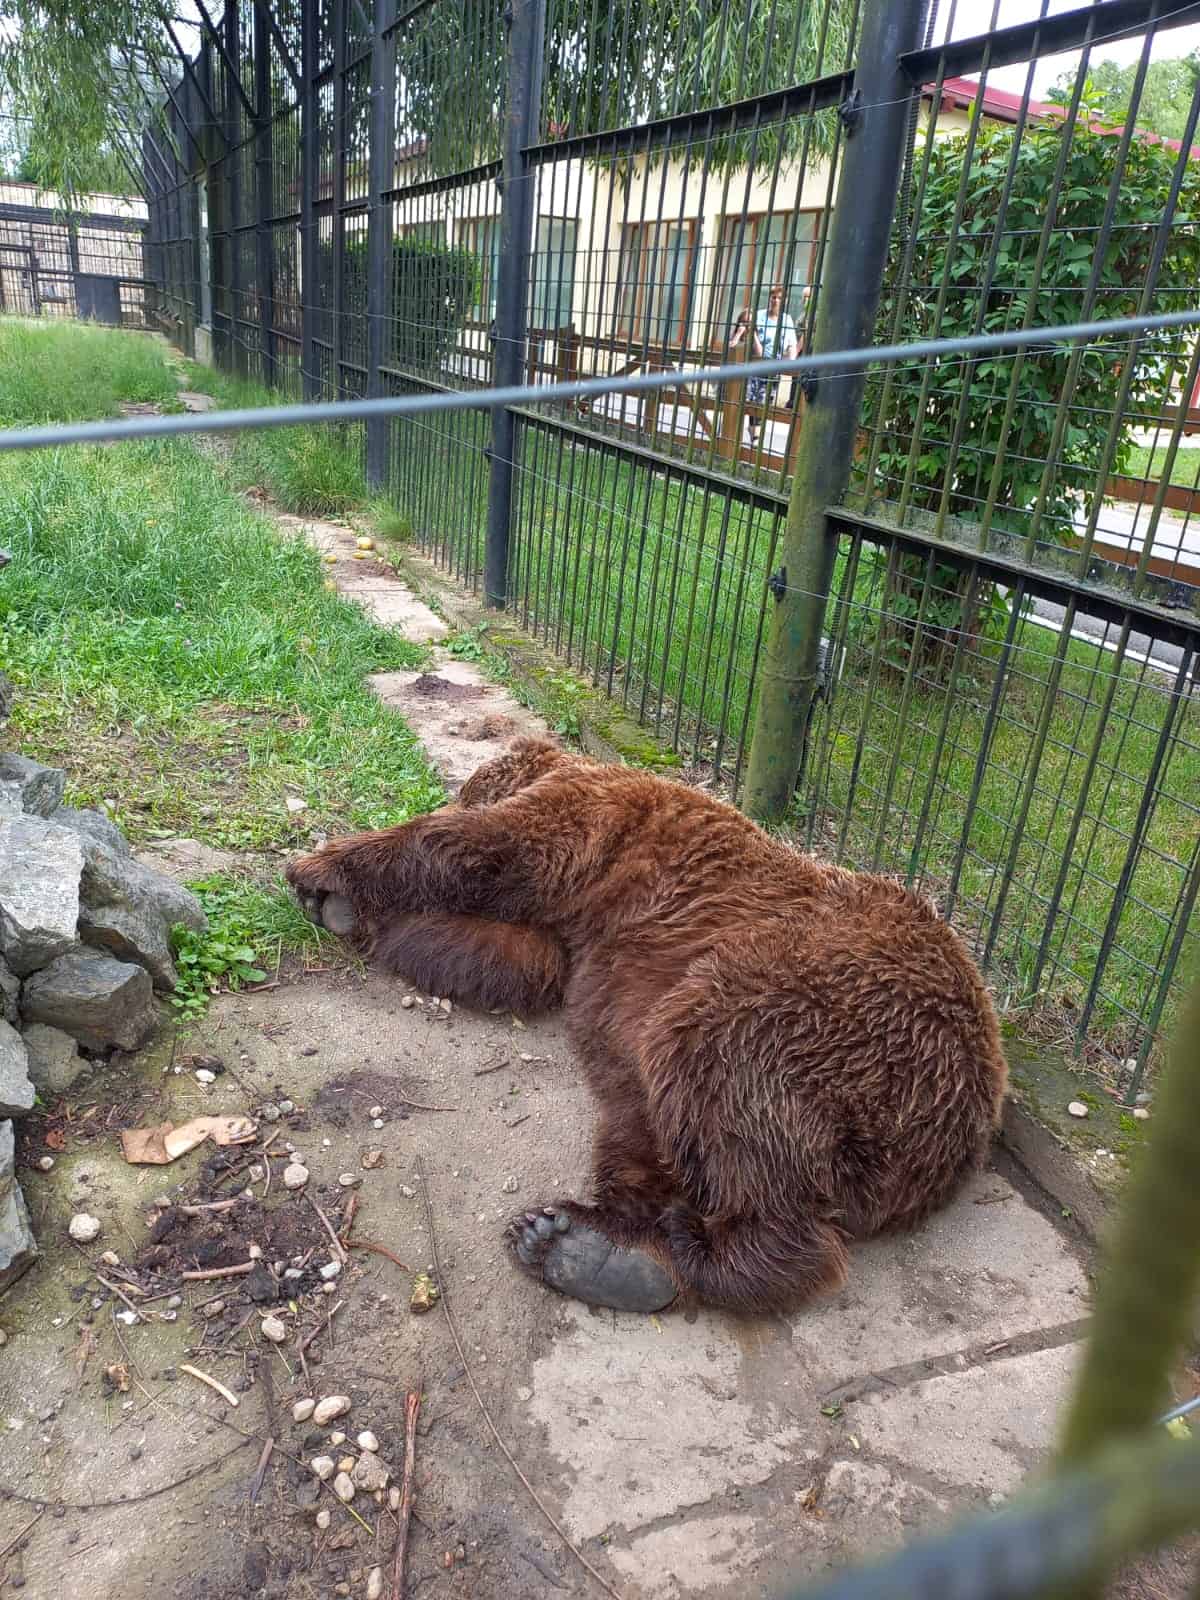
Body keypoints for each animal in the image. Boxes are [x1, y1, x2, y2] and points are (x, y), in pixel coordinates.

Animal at [286, 736, 1011, 1312]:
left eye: (460, 791)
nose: (450, 794)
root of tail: (949, 1137)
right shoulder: (566, 925)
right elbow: (508, 959)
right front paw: (364, 918)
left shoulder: (590, 824)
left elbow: (480, 849)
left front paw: (322, 873)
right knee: (651, 1120)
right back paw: (587, 1246)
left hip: (815, 1002)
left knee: (724, 1080)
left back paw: (687, 1253)